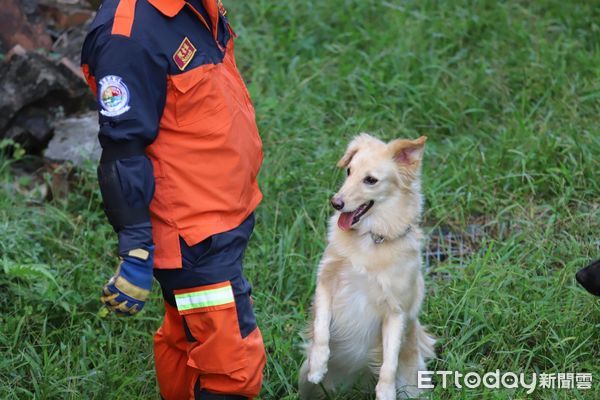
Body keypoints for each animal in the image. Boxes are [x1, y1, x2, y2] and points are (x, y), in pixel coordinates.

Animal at [300, 134, 436, 400]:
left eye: (371, 180)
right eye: (349, 171)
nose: (335, 202)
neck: (370, 239)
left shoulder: (396, 311)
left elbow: (389, 363)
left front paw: (385, 391)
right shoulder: (326, 283)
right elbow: (321, 328)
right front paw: (319, 364)